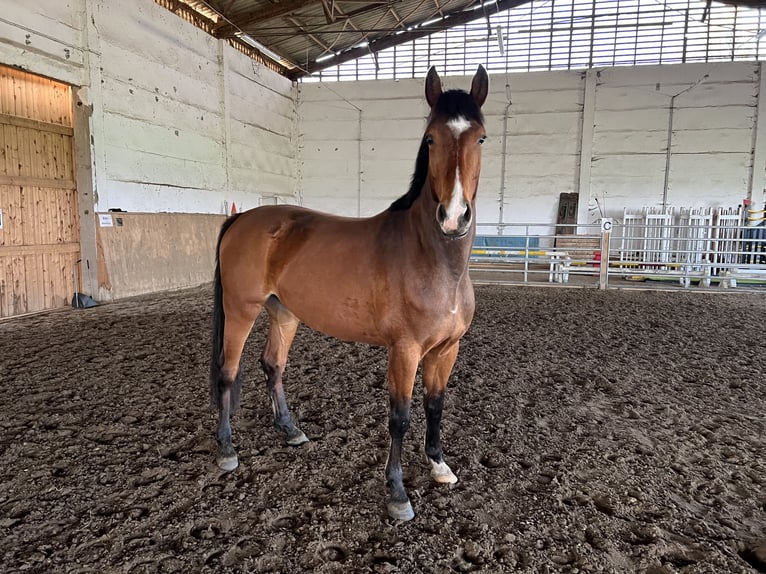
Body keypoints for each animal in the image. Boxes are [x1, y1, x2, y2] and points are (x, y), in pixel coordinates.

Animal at [210, 66, 488, 520]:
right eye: (431, 138)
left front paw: (439, 466)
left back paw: (290, 431)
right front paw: (397, 494)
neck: (434, 261)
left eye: (480, 137)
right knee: (228, 372)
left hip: (283, 313)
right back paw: (227, 449)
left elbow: (435, 405)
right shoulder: (405, 350)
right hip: (241, 310)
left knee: (273, 365)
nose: (453, 217)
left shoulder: (447, 349)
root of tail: (243, 218)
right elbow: (400, 417)